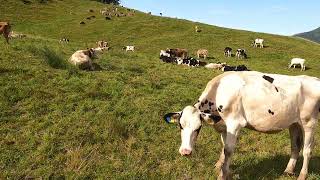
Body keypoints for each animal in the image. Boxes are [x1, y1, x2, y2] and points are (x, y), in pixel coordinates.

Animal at [164, 71, 320, 180]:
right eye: (180, 126)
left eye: (198, 128)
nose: (185, 152)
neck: (220, 89)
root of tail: (313, 79)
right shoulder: (225, 126)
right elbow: (223, 146)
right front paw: (218, 165)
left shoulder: (235, 123)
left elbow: (228, 150)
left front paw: (223, 175)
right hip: (294, 123)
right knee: (295, 146)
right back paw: (288, 170)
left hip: (309, 122)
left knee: (307, 150)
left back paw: (302, 175)